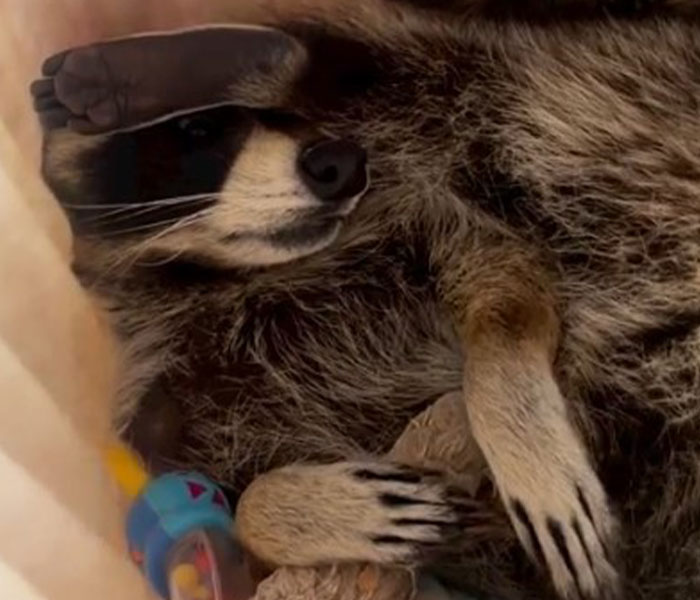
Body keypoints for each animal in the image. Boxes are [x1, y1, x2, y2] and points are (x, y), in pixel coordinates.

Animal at [31, 2, 700, 599]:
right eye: (196, 131)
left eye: (295, 121)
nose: (341, 160)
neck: (211, 276)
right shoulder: (171, 418)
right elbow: (231, 515)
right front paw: (285, 509)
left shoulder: (407, 208)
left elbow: (505, 283)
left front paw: (511, 413)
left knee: (370, 54)